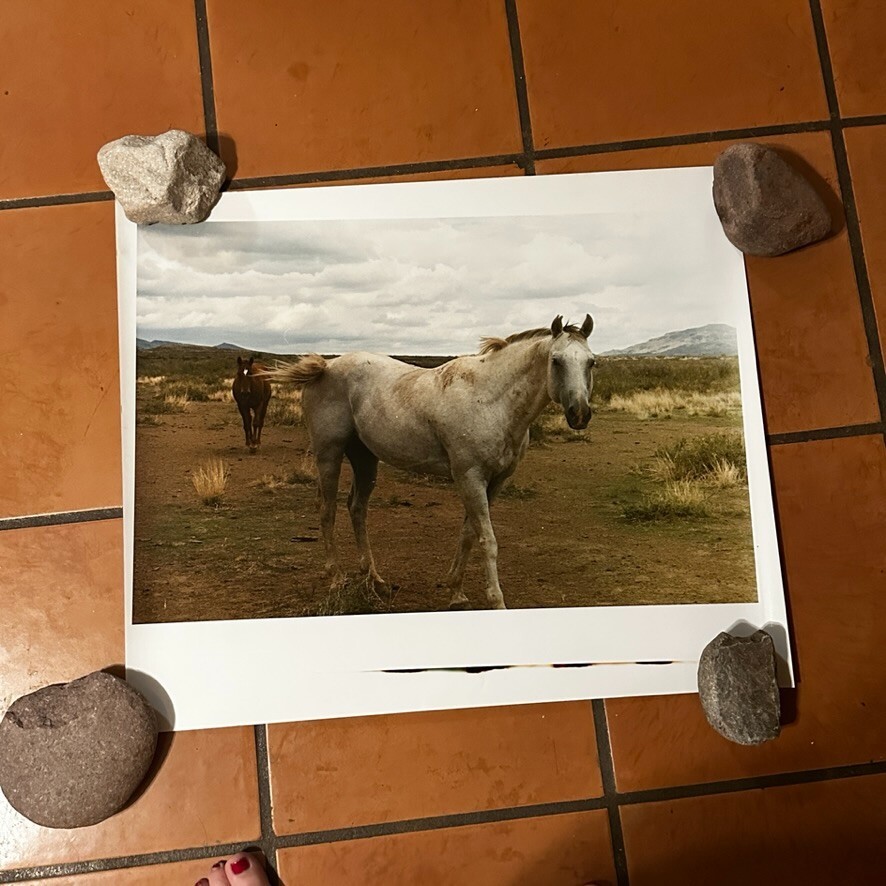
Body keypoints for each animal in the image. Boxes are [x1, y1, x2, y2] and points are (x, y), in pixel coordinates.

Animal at [266, 314, 595, 610]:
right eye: (556, 360)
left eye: (591, 362)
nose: (579, 414)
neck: (491, 401)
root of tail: (326, 367)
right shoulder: (470, 477)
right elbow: (487, 540)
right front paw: (496, 600)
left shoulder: (495, 481)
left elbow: (468, 534)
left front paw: (456, 591)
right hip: (329, 455)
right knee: (327, 511)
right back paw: (336, 577)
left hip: (365, 459)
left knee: (356, 509)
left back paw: (374, 578)